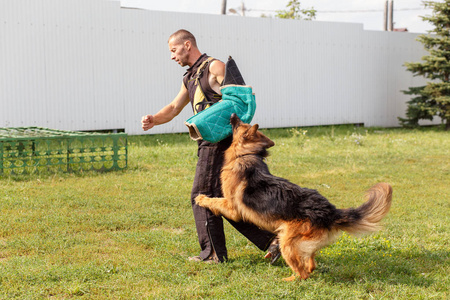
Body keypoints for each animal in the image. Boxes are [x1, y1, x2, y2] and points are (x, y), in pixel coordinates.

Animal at [195, 114, 392, 282]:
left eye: (240, 125)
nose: (233, 114)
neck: (246, 154)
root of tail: (330, 212)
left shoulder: (232, 207)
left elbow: (215, 200)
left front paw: (201, 198)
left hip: (288, 243)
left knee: (303, 273)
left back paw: (288, 279)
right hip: (301, 244)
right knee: (310, 264)